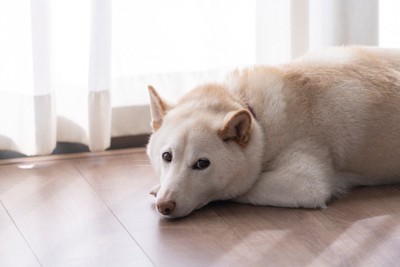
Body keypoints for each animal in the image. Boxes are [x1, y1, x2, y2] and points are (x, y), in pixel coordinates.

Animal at [146, 46, 400, 219]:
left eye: (202, 164)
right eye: (167, 156)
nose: (164, 206)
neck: (255, 113)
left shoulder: (305, 181)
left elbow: (244, 186)